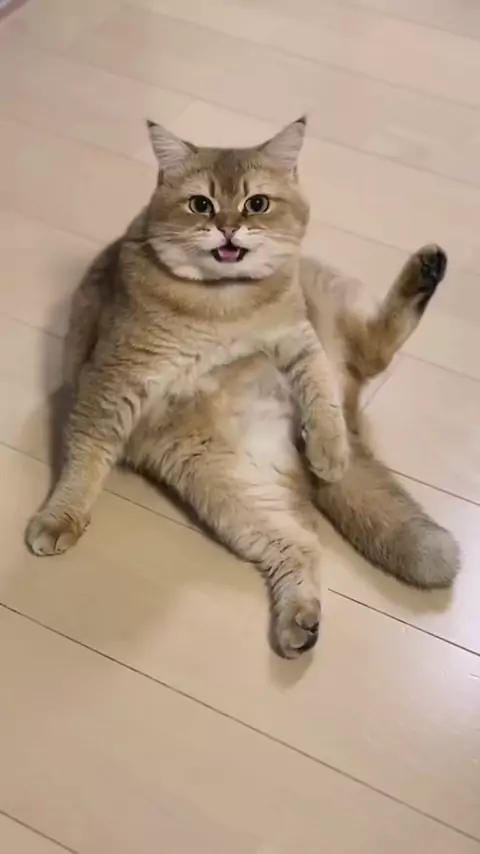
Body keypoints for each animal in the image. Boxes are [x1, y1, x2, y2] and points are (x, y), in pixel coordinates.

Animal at [26, 119, 460, 659]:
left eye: (257, 203)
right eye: (201, 204)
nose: (229, 227)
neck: (225, 305)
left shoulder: (298, 337)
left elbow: (318, 391)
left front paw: (329, 449)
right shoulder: (116, 376)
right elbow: (84, 460)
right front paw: (59, 518)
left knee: (366, 360)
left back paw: (425, 272)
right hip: (229, 489)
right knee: (300, 542)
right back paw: (299, 622)